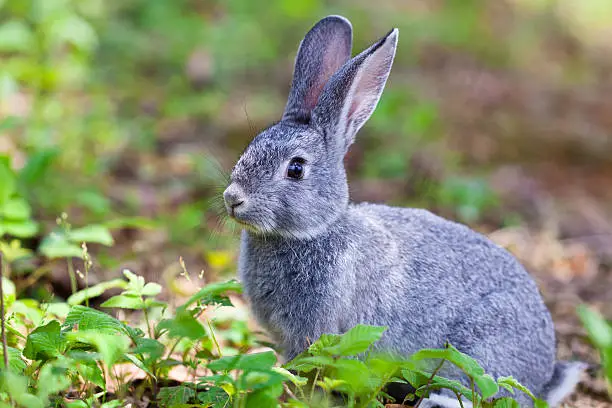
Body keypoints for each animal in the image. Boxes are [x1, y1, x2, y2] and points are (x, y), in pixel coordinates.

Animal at [222, 14, 584, 406]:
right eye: (250, 146)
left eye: (296, 169)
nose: (232, 198)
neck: (317, 229)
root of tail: (544, 374)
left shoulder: (314, 328)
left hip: (479, 350)